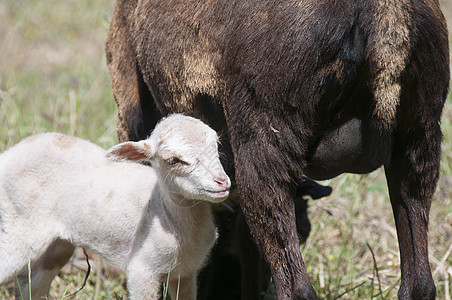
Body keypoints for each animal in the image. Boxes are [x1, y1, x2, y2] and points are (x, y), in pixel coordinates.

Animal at [0, 113, 230, 298]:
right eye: (174, 160)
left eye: (216, 146)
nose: (222, 182)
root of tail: (9, 154)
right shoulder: (141, 270)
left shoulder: (185, 273)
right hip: (21, 223)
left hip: (58, 242)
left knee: (30, 284)